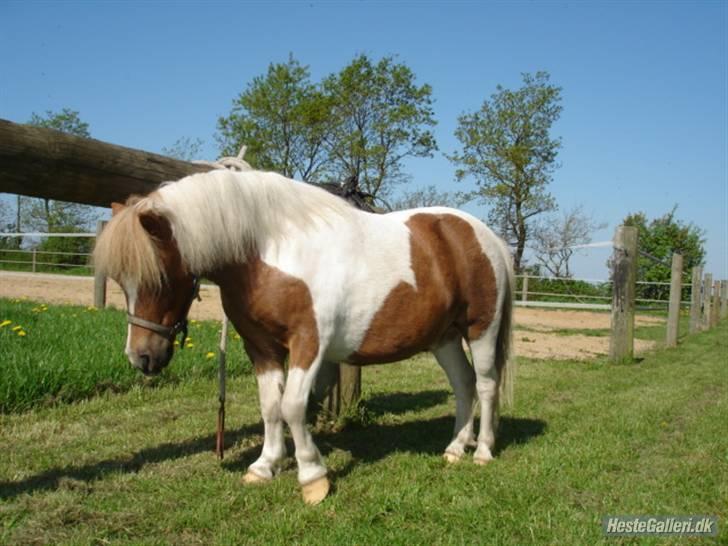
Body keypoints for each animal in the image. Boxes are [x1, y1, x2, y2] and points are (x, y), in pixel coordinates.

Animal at [94, 168, 516, 504]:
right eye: (121, 281)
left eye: (161, 278)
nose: (142, 358)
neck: (272, 251)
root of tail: (486, 237)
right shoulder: (260, 347)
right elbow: (269, 406)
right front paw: (264, 466)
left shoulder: (309, 344)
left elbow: (293, 406)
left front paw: (313, 476)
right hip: (444, 337)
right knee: (463, 385)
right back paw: (454, 449)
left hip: (481, 329)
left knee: (485, 385)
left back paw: (482, 452)